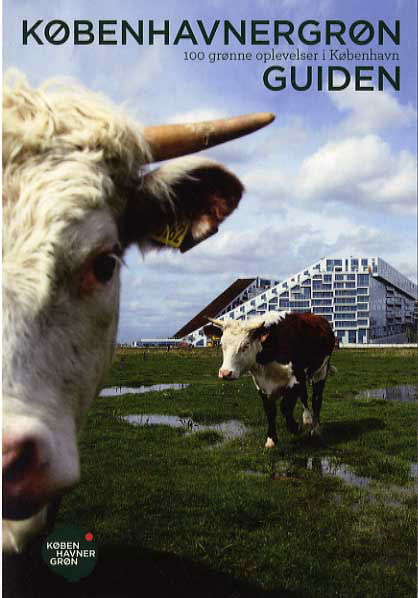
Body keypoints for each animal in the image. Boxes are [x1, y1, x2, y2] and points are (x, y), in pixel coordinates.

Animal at [206, 312, 336, 448]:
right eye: (222, 344)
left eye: (246, 345)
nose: (225, 373)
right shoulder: (261, 384)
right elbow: (270, 411)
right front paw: (271, 439)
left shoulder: (295, 379)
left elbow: (285, 407)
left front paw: (294, 427)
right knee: (304, 395)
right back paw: (307, 418)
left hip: (321, 371)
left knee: (316, 398)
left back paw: (315, 428)